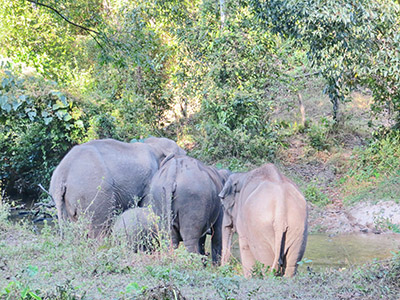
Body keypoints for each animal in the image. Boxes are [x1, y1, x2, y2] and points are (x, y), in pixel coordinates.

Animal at [48, 137, 186, 238]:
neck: (154, 145)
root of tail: (62, 174)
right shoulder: (149, 180)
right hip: (93, 192)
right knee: (99, 227)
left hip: (65, 199)